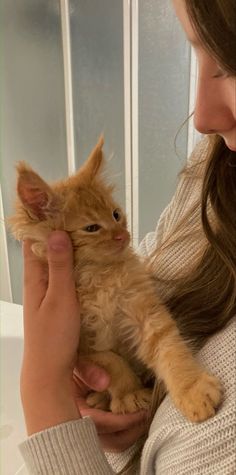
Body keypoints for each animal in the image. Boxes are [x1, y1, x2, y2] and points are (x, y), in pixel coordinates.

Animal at [9, 138, 222, 424]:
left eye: (116, 214)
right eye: (92, 228)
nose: (123, 235)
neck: (100, 278)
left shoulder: (144, 312)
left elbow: (171, 349)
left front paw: (192, 390)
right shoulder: (83, 344)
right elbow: (112, 362)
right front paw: (129, 394)